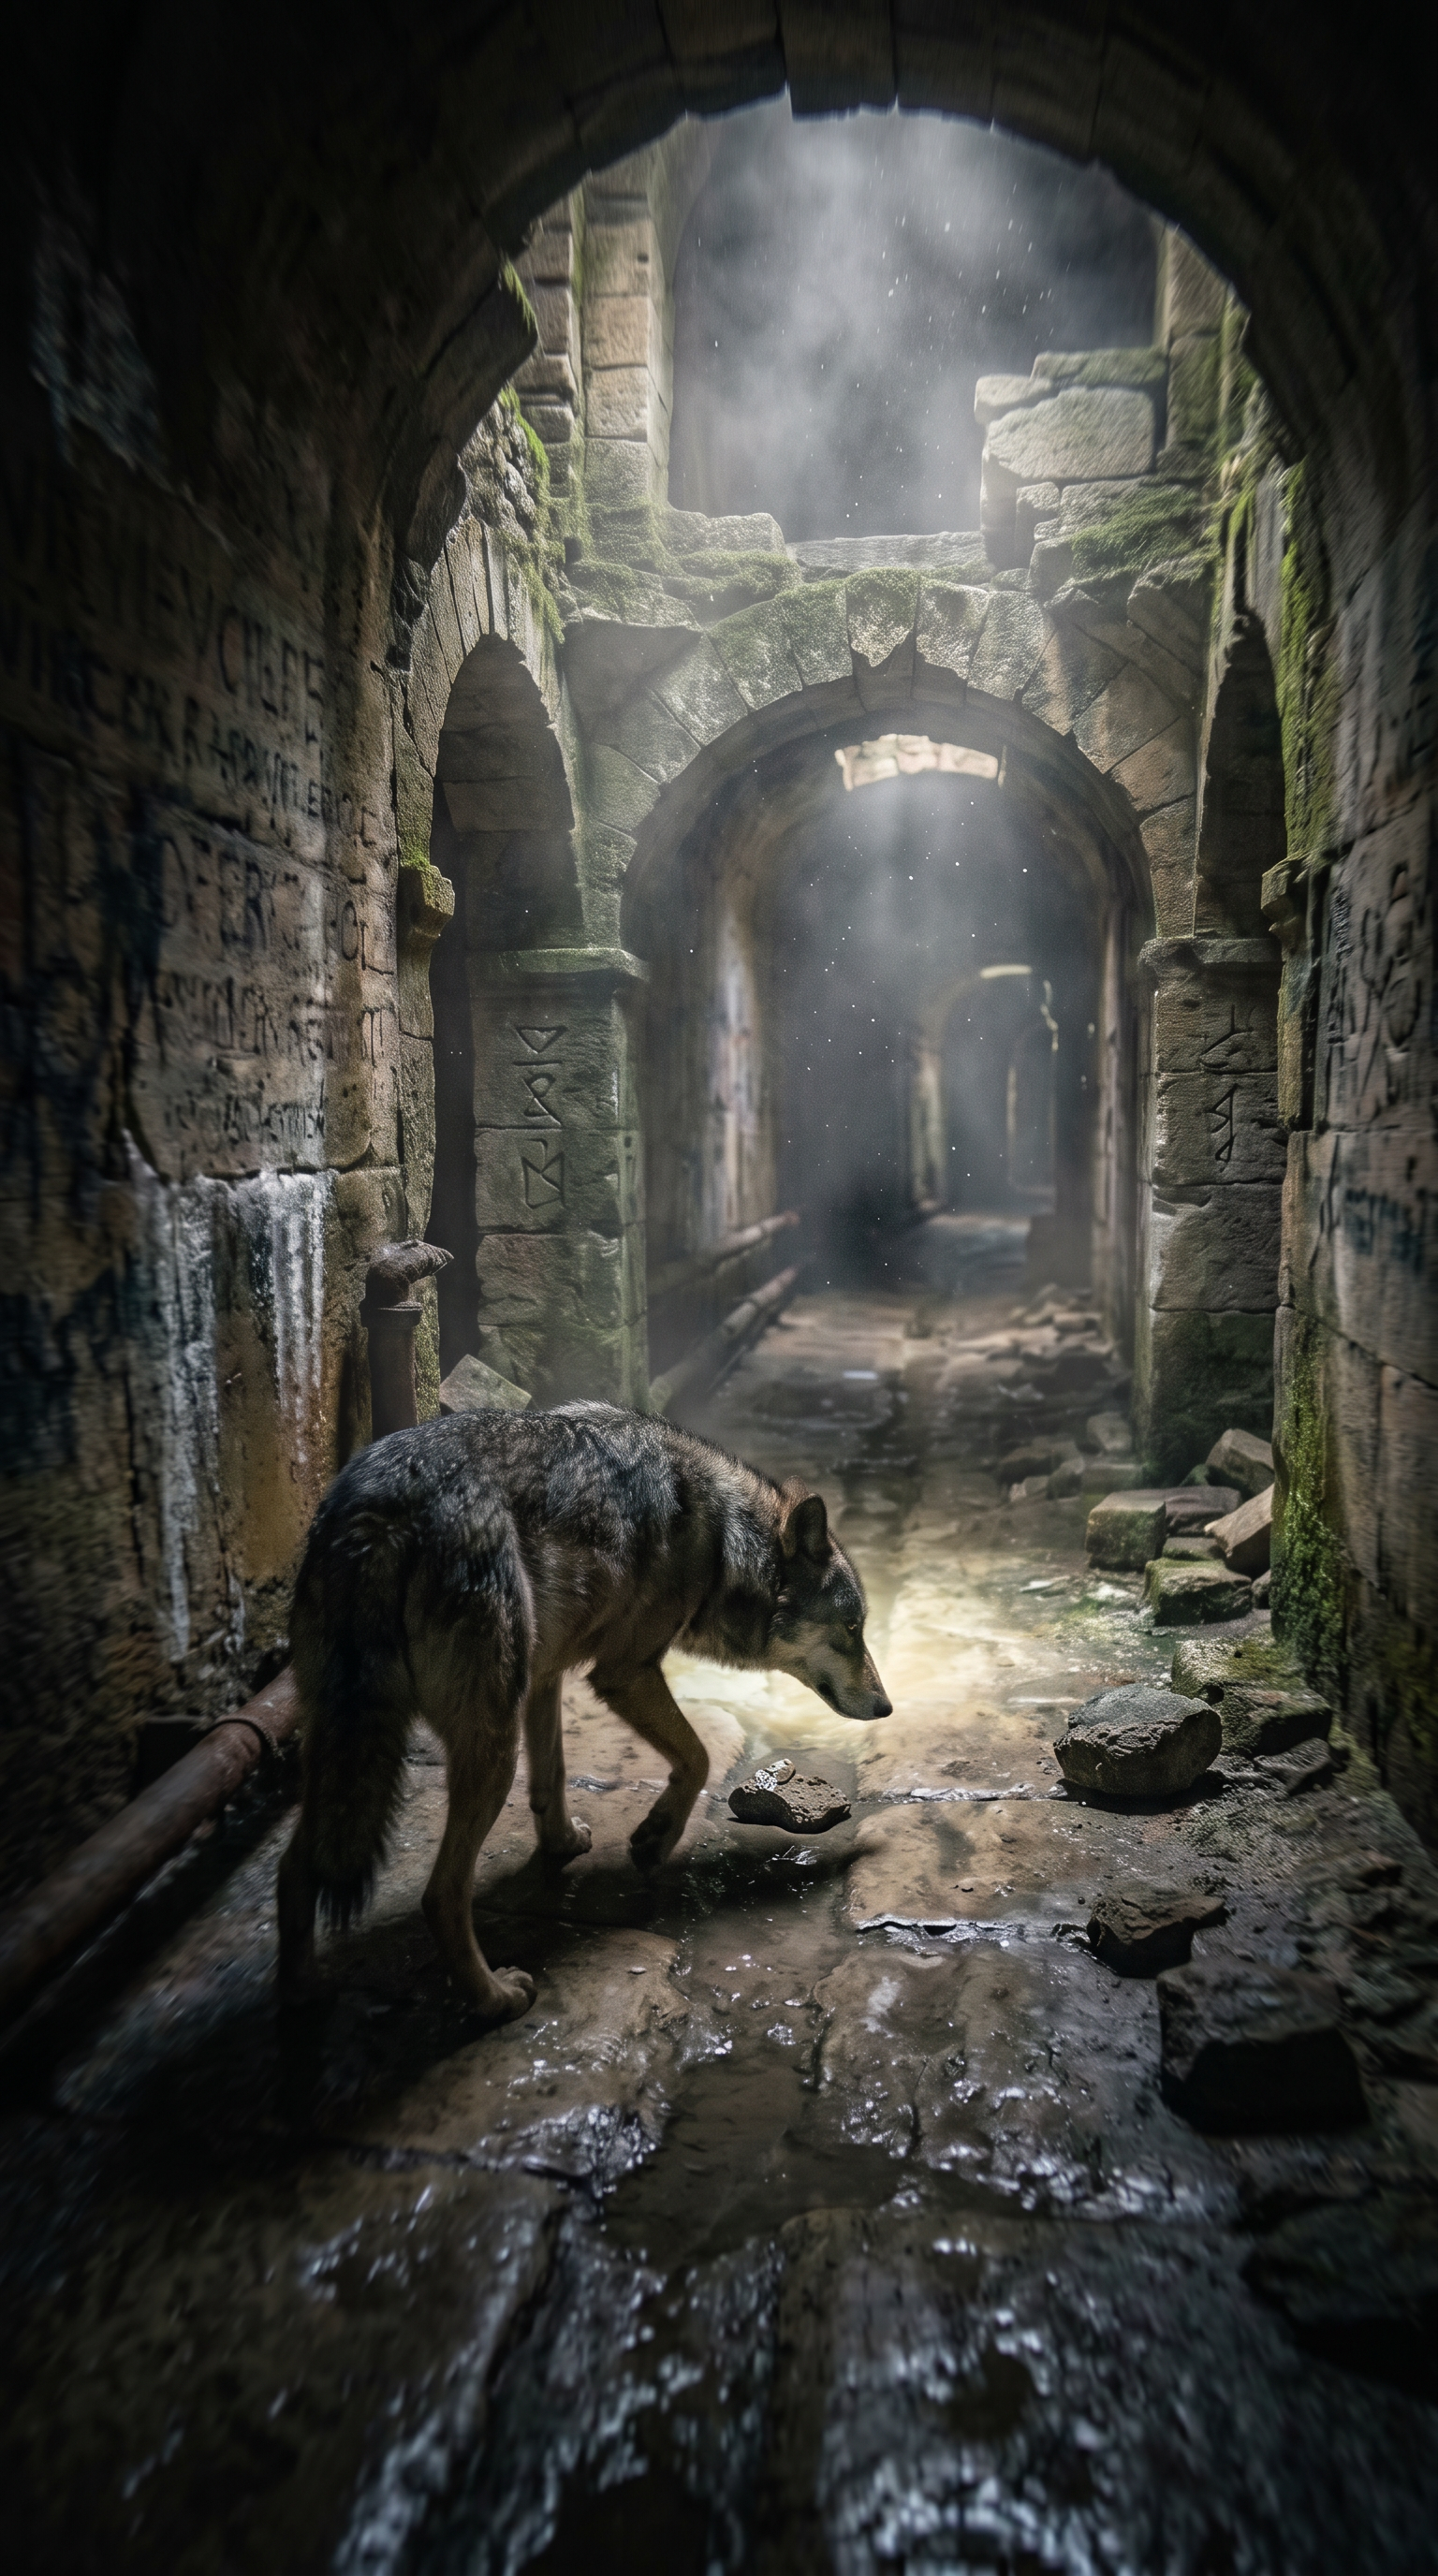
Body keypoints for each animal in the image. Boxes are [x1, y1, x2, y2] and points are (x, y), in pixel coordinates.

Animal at [277, 1401, 890, 2019]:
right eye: (852, 1629)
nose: (887, 1707)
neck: (723, 1542)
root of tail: (380, 1510)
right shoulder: (624, 1672)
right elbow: (696, 1758)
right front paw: (656, 1837)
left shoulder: (546, 1674)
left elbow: (552, 1776)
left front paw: (563, 1844)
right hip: (489, 1749)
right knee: (440, 1895)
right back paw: (496, 1997)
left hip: (356, 1752)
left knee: (294, 1866)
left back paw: (304, 1993)